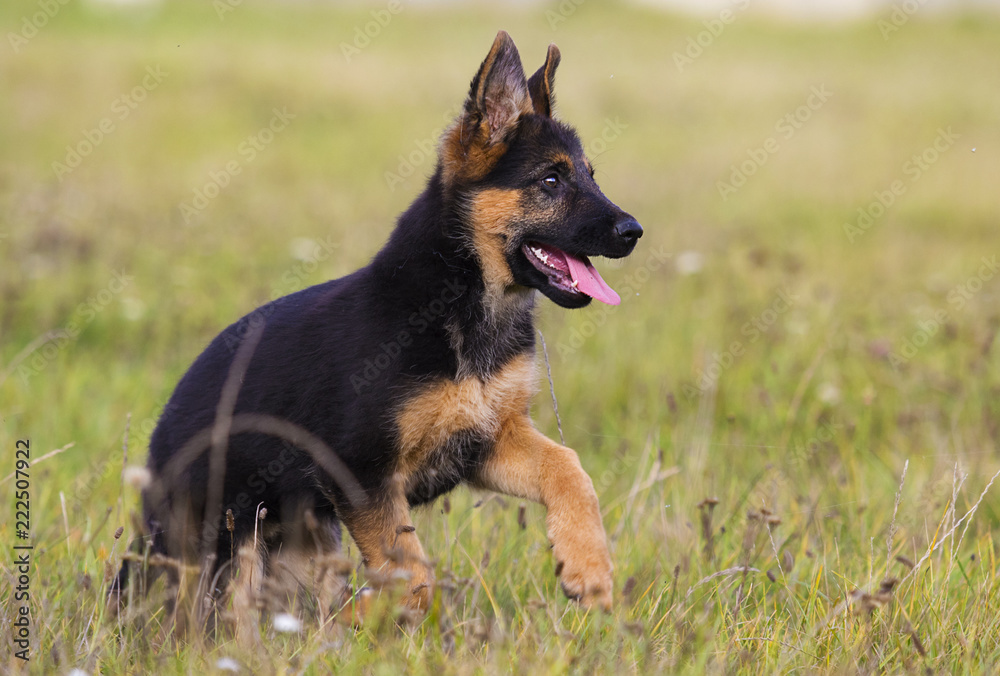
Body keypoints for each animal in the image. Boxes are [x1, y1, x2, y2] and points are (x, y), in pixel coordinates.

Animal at [127, 30, 640, 616]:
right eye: (551, 180)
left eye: (591, 178)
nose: (634, 231)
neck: (465, 304)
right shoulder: (361, 471)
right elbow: (411, 573)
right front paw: (385, 621)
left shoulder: (490, 443)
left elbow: (569, 468)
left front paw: (588, 566)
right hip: (221, 545)